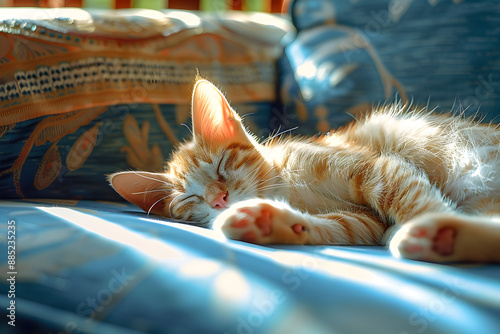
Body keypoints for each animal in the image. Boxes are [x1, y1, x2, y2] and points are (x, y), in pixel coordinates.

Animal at [110, 79, 500, 264]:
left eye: (221, 165)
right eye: (191, 199)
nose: (220, 199)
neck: (283, 185)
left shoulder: (370, 165)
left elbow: (407, 196)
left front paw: (426, 222)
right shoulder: (366, 221)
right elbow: (338, 227)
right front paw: (268, 223)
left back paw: (439, 233)